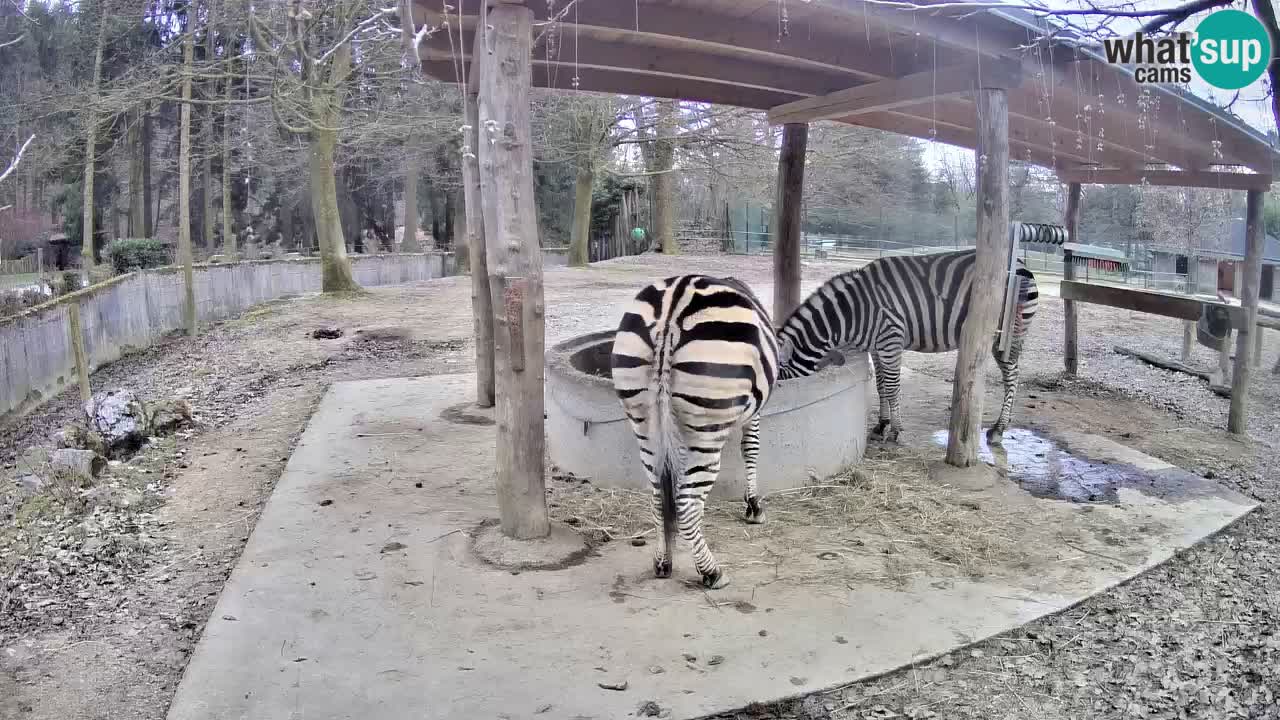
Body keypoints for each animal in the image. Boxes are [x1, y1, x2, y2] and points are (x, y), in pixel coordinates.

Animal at [609, 271, 778, 586]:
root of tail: (670, 312)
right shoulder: (754, 412)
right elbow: (751, 449)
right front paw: (753, 507)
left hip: (643, 422)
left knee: (659, 498)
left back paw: (663, 561)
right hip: (706, 427)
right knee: (685, 503)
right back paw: (712, 572)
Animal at [768, 249, 1039, 445]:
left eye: (778, 381)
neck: (852, 312)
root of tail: (1021, 262)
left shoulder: (891, 339)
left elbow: (892, 386)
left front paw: (896, 431)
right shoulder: (876, 347)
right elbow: (880, 386)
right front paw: (881, 425)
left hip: (1006, 334)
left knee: (1012, 376)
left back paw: (999, 429)